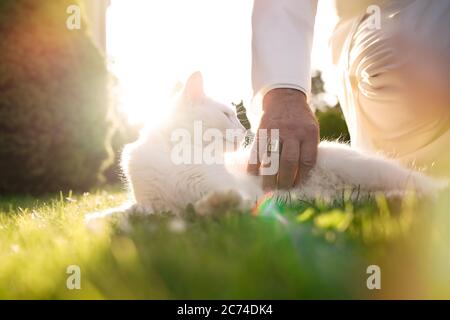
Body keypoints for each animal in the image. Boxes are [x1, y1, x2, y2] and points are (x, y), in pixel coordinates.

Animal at [86, 71, 444, 220]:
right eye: (227, 114)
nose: (245, 130)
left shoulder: (237, 192)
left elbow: (215, 202)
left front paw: (214, 206)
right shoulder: (152, 205)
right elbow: (122, 215)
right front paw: (101, 222)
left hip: (366, 168)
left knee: (423, 184)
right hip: (352, 194)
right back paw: (394, 202)